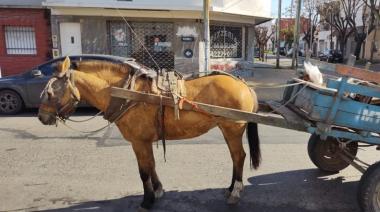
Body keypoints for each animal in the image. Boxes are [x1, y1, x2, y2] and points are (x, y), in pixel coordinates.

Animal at [37, 56, 262, 210]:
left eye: (49, 93)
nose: (41, 117)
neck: (127, 93)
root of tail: (243, 84)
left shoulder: (138, 142)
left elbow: (143, 170)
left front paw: (147, 200)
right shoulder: (145, 141)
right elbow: (151, 165)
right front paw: (159, 190)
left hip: (233, 129)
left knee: (239, 156)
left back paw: (236, 191)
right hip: (226, 129)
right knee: (234, 157)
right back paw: (230, 187)